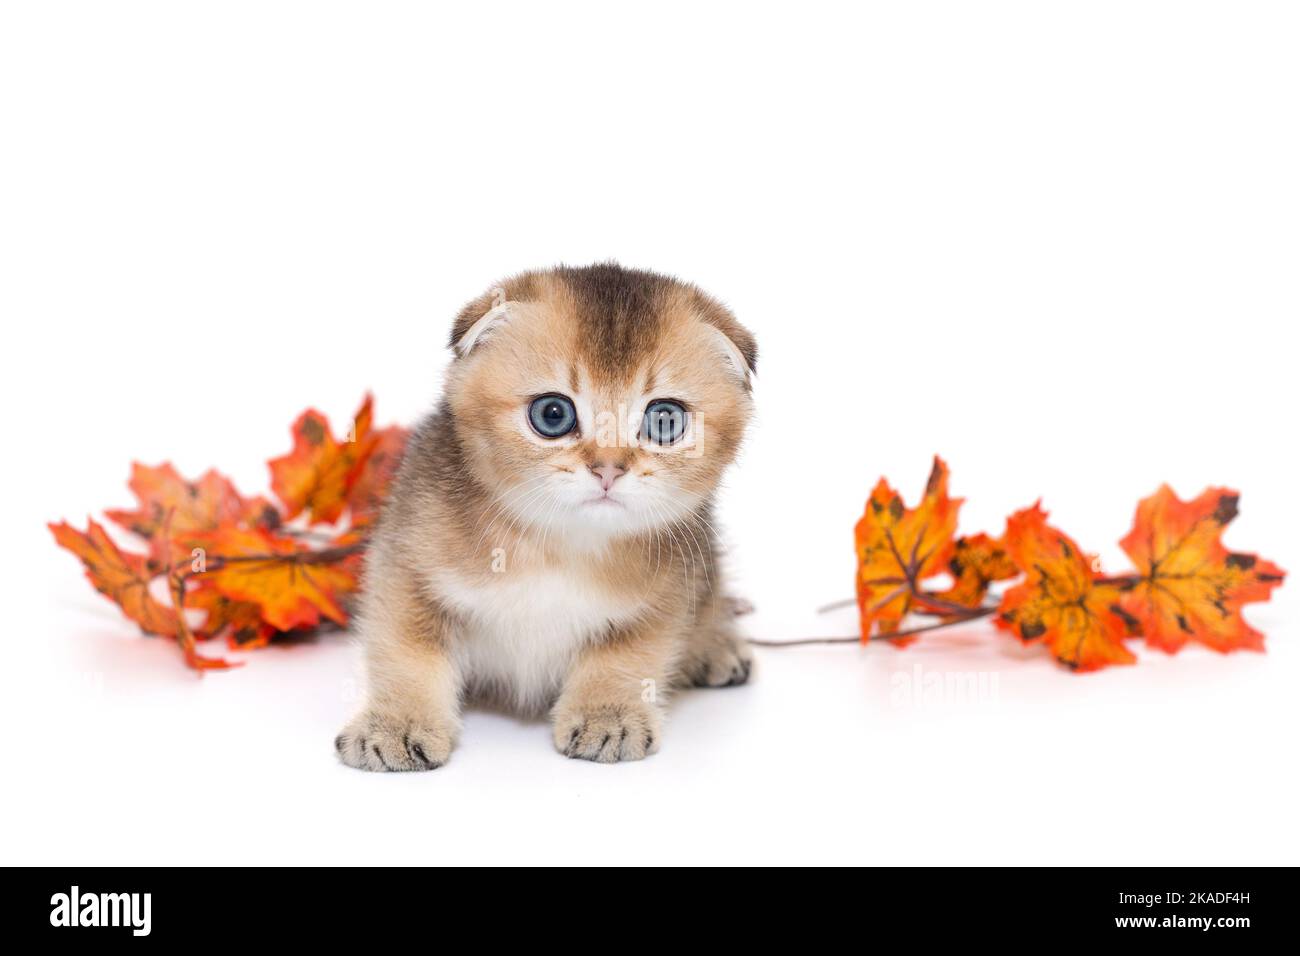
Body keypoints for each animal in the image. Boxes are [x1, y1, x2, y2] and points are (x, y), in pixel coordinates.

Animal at [335, 261, 759, 770]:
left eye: (665, 421)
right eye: (552, 414)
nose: (608, 468)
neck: (557, 545)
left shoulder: (666, 595)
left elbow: (627, 658)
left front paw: (607, 716)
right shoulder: (404, 564)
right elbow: (406, 653)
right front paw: (397, 724)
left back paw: (717, 646)